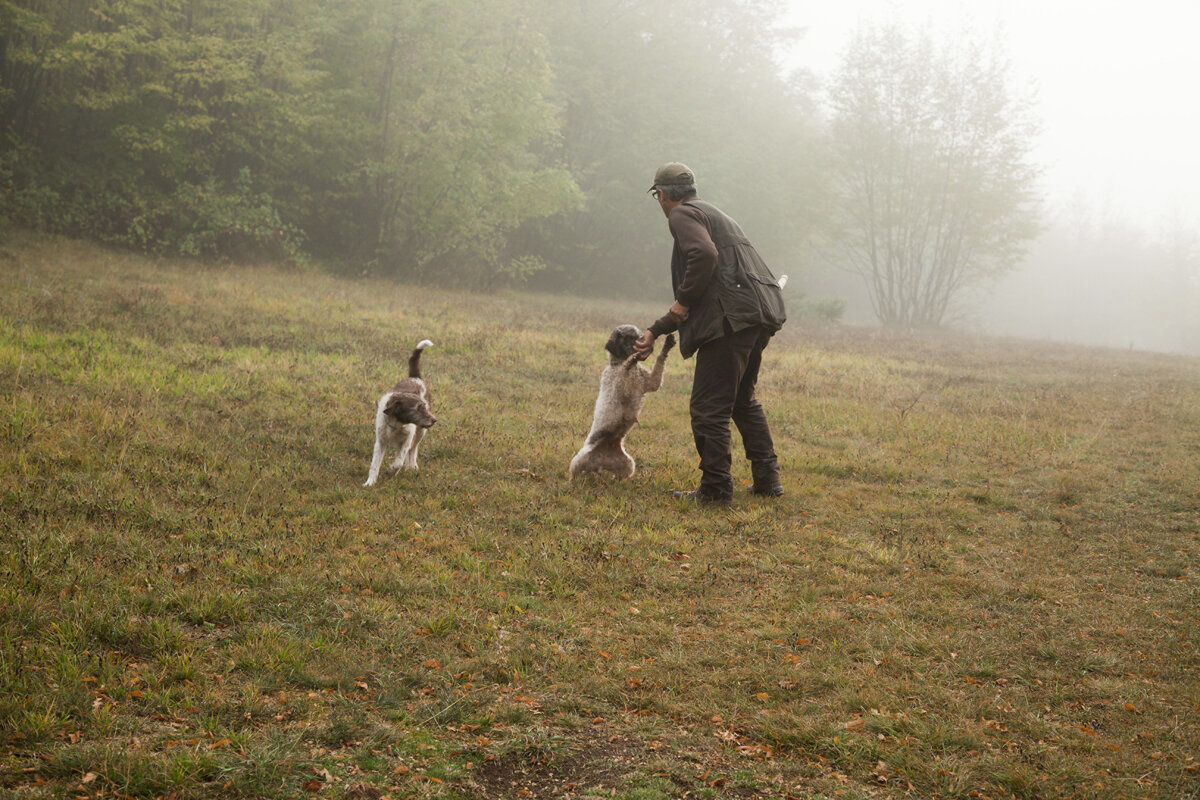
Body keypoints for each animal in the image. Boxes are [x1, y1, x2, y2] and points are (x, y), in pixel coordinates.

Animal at [367, 340, 444, 489]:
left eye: (424, 407)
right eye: (417, 408)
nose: (434, 420)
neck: (397, 424)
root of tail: (415, 377)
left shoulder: (407, 439)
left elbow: (399, 460)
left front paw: (391, 471)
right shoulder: (380, 441)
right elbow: (375, 464)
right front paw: (370, 482)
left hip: (420, 432)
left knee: (413, 449)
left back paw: (411, 466)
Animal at [566, 326, 672, 482]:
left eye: (639, 334)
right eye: (629, 337)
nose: (649, 342)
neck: (618, 364)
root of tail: (601, 462)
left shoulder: (651, 382)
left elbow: (659, 363)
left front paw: (667, 345)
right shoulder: (620, 385)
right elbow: (625, 369)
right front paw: (631, 360)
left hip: (628, 464)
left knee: (620, 475)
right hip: (579, 460)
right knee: (574, 472)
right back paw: (571, 481)